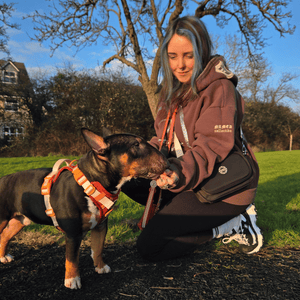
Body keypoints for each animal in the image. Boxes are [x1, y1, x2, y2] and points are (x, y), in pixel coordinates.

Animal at [0, 127, 168, 290]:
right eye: (136, 144)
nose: (167, 161)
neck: (91, 184)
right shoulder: (73, 233)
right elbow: (72, 258)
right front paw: (72, 280)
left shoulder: (100, 226)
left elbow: (98, 248)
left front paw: (100, 267)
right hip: (2, 219)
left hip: (20, 220)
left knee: (5, 236)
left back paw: (3, 257)